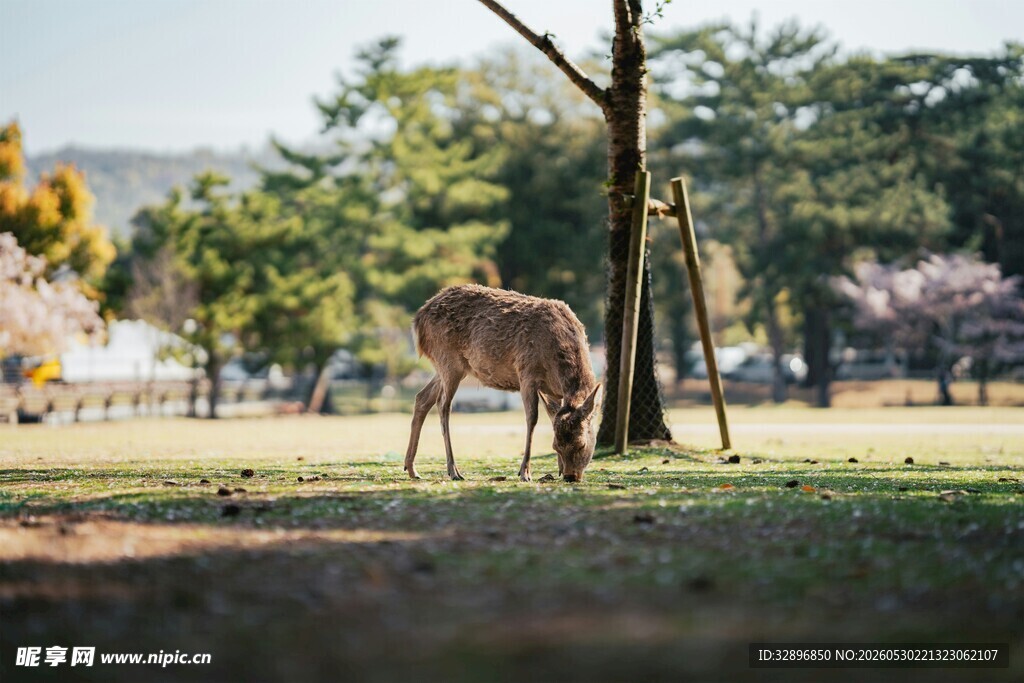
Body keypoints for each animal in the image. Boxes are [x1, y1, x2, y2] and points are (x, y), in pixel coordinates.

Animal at [405, 284, 603, 483]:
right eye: (556, 446)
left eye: (581, 445)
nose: (570, 476)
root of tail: (418, 320)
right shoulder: (526, 372)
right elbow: (532, 418)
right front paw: (525, 472)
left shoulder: (552, 390)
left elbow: (552, 416)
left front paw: (557, 470)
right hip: (448, 359)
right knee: (443, 404)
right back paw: (453, 471)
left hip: (446, 366)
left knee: (422, 398)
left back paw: (412, 468)